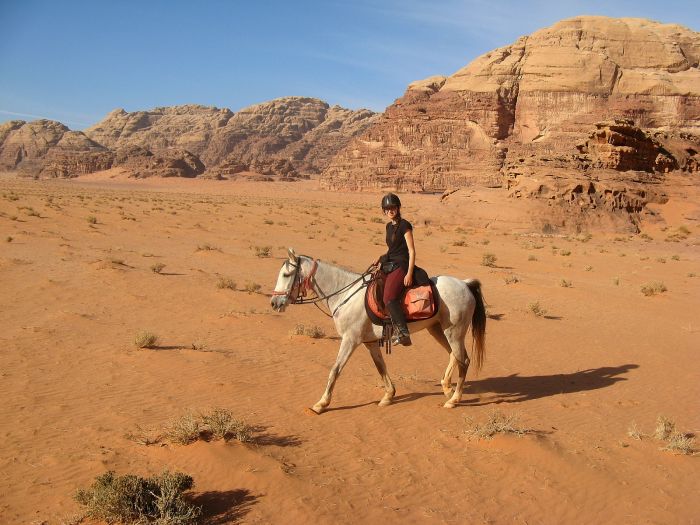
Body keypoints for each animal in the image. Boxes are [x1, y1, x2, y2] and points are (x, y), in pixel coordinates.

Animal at [270, 248, 484, 412]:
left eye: (286, 275)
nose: (274, 303)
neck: (345, 294)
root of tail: (465, 284)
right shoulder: (370, 342)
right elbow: (380, 367)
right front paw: (388, 396)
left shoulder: (350, 340)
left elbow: (335, 370)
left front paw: (321, 404)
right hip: (438, 330)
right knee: (454, 356)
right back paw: (447, 388)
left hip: (453, 332)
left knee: (463, 360)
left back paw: (454, 399)